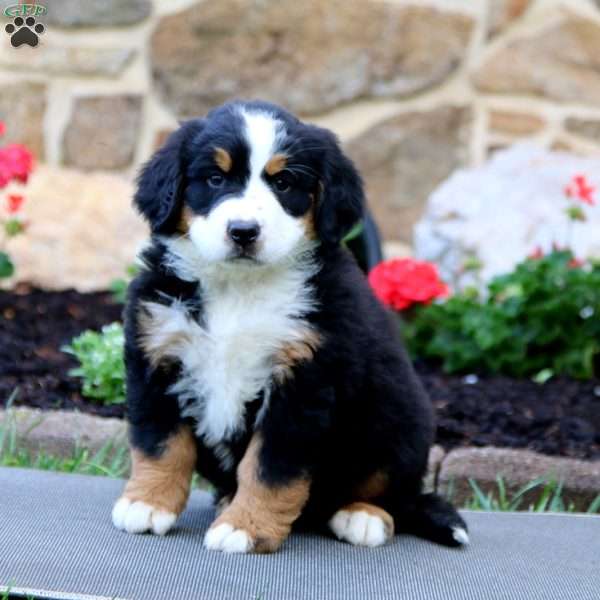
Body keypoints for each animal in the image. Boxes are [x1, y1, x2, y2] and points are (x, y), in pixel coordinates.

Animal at [112, 98, 468, 552]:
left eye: (283, 183)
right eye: (215, 178)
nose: (243, 231)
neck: (238, 288)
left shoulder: (303, 382)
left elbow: (269, 468)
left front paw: (245, 528)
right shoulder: (158, 353)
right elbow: (161, 444)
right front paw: (148, 504)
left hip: (398, 420)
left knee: (394, 492)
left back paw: (362, 516)